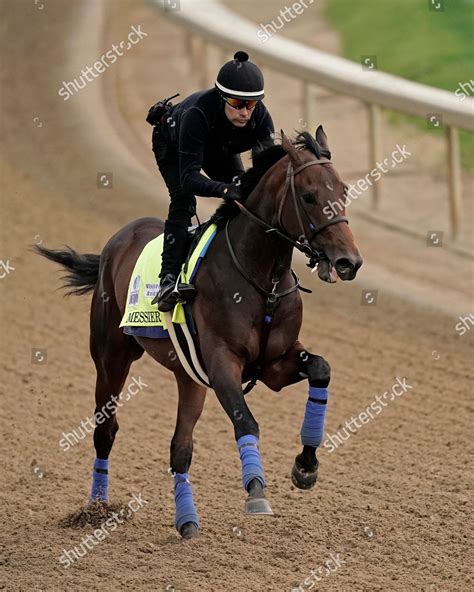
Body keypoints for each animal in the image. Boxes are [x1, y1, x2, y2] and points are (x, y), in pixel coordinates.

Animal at [36, 127, 362, 540]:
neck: (261, 278)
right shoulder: (223, 363)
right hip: (111, 357)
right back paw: (96, 510)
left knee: (180, 448)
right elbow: (245, 420)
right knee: (105, 430)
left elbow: (321, 369)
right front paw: (256, 490)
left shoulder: (274, 364)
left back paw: (186, 521)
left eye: (344, 190)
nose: (349, 262)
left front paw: (305, 466)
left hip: (188, 378)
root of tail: (119, 238)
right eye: (308, 196)